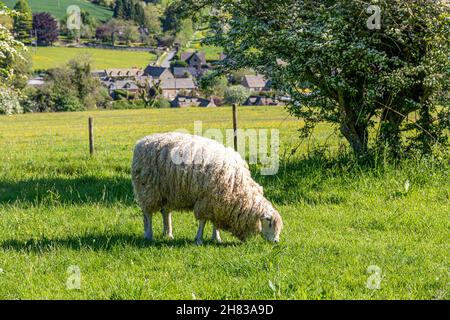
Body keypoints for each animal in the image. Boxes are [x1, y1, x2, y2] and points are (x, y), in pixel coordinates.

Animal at [132, 131, 284, 244]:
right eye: (269, 222)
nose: (276, 241)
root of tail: (142, 141)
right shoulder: (207, 200)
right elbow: (203, 221)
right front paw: (199, 239)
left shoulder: (218, 203)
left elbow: (215, 223)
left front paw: (216, 238)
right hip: (148, 189)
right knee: (148, 213)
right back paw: (149, 235)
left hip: (168, 192)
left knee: (165, 212)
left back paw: (168, 234)